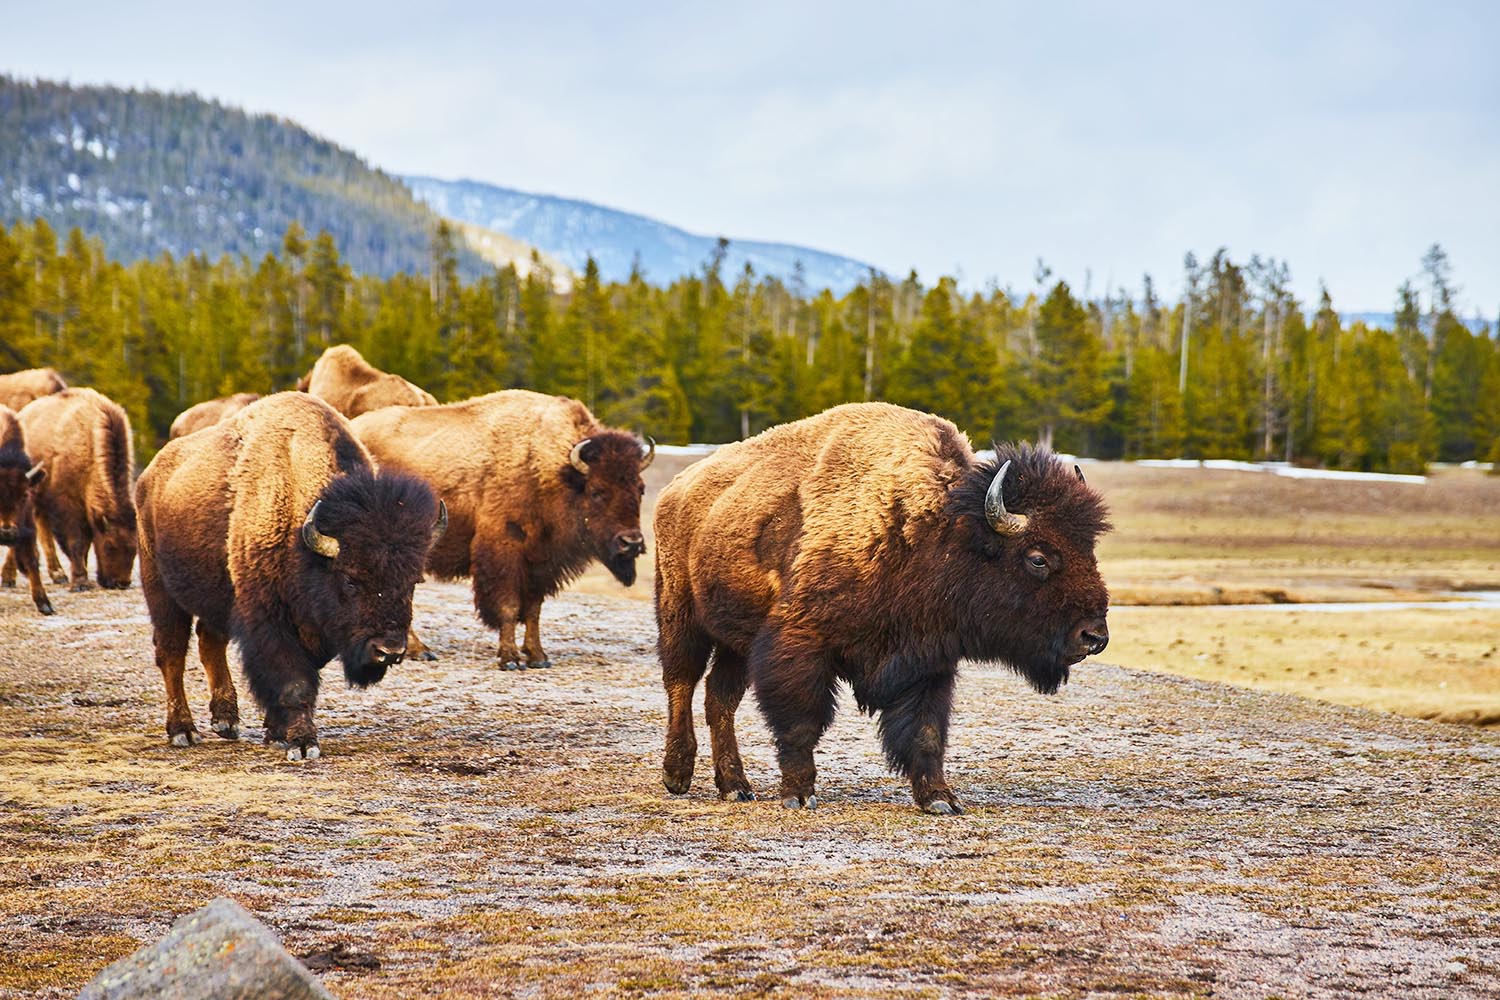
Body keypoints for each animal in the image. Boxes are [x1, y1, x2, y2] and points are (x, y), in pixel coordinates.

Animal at [13, 388, 137, 590]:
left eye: (135, 548)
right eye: (110, 546)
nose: (121, 583)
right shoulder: (67, 505)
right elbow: (77, 542)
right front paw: (81, 581)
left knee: (43, 529)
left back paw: (57, 575)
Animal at [135, 392, 446, 759]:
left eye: (413, 582)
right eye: (350, 579)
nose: (390, 650)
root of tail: (150, 475)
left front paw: (277, 732)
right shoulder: (269, 619)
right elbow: (293, 682)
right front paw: (302, 743)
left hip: (215, 595)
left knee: (209, 643)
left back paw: (226, 722)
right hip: (159, 587)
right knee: (171, 653)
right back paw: (182, 730)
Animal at [350, 390, 653, 670]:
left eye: (640, 488)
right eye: (598, 491)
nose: (632, 542)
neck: (548, 468)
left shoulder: (540, 563)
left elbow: (533, 610)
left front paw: (538, 657)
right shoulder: (504, 554)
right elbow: (508, 606)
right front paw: (510, 659)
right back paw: (418, 650)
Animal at [653, 402, 1111, 815]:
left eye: (1089, 549)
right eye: (1038, 558)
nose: (1094, 636)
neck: (935, 532)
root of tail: (674, 489)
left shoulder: (928, 661)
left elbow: (926, 731)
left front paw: (940, 800)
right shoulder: (800, 644)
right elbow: (802, 722)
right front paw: (798, 795)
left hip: (735, 640)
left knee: (720, 698)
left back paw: (735, 786)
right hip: (680, 614)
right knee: (681, 682)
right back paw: (678, 775)